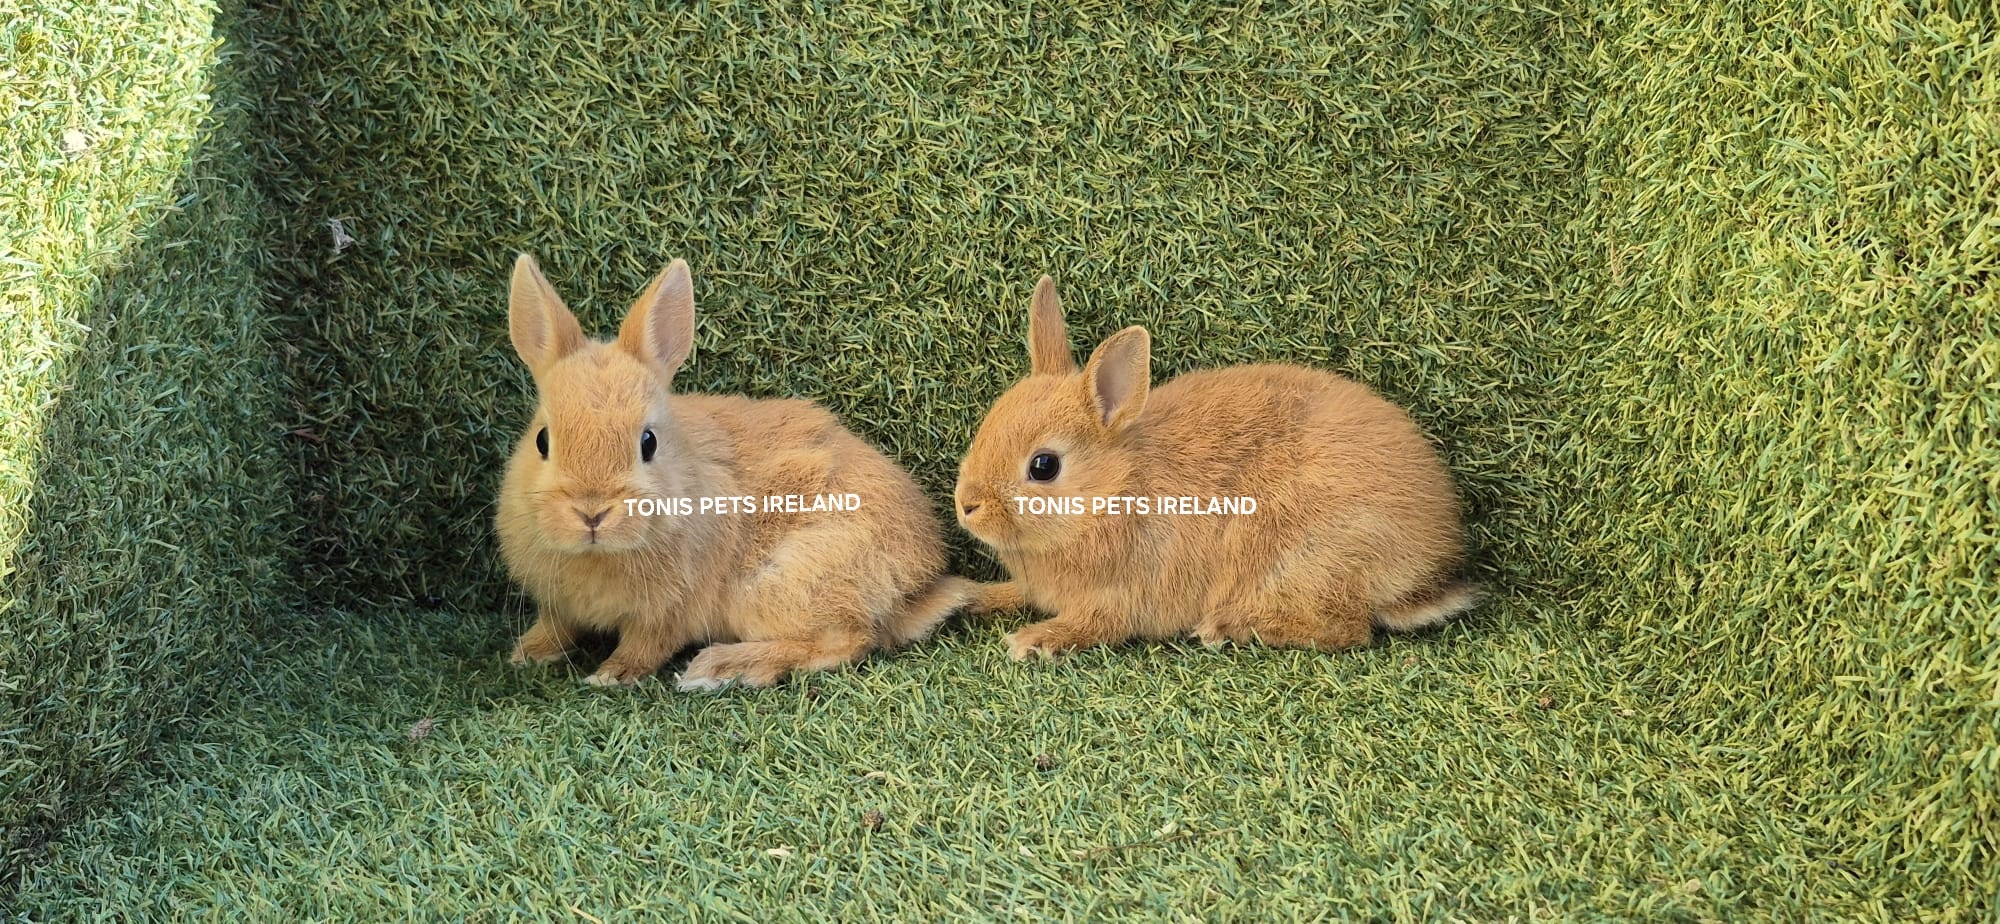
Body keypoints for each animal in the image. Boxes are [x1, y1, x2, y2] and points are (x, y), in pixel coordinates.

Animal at [496, 253, 983, 689]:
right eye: (542, 440)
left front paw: (610, 676)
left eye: (648, 443)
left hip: (777, 586)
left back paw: (721, 667)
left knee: (847, 640)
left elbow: (644, 646)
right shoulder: (558, 605)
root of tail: (921, 583)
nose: (592, 512)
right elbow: (556, 626)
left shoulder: (670, 611)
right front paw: (526, 654)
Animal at [953, 276, 1480, 661]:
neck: (1114, 492)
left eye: (1044, 466)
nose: (966, 506)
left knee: (1348, 629)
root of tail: (1431, 562)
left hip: (1308, 558)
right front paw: (973, 597)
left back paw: (1230, 627)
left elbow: (1092, 625)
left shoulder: (1122, 594)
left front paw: (1034, 640)